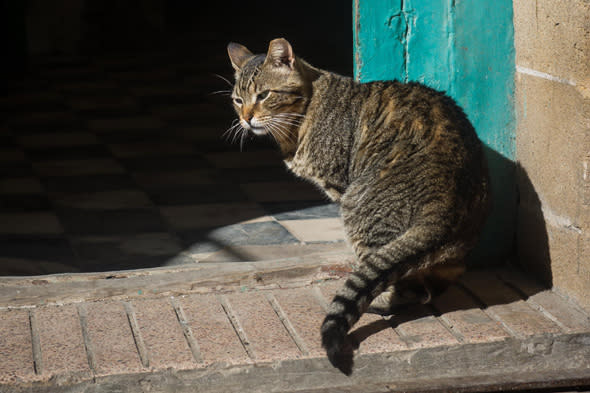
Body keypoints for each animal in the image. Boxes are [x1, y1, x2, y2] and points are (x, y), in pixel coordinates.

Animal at [227, 39, 490, 374]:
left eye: (264, 95)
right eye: (238, 100)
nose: (245, 118)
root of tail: (444, 203)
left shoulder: (340, 185)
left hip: (358, 211)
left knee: (402, 287)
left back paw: (378, 302)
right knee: (433, 284)